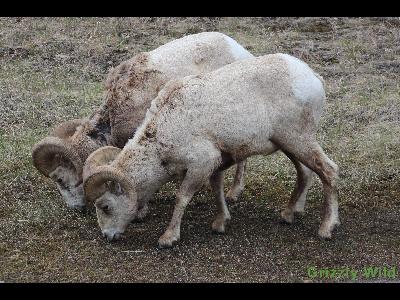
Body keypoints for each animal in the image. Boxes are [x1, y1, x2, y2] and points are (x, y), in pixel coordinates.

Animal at [83, 52, 340, 247]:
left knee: (329, 171)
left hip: (299, 140)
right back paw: (288, 215)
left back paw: (327, 228)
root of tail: (314, 78)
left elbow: (182, 197)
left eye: (105, 206)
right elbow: (217, 189)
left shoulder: (201, 163)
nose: (108, 236)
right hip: (289, 144)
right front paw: (220, 223)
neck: (165, 129)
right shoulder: (217, 162)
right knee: (305, 173)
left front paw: (168, 238)